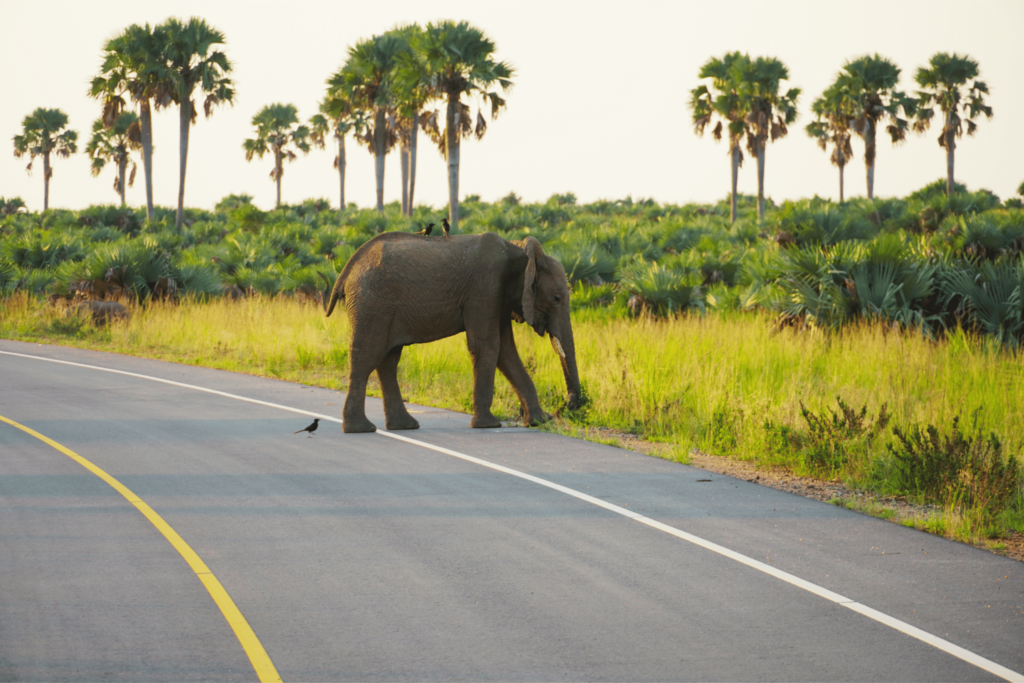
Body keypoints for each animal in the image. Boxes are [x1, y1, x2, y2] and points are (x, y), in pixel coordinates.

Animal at [323, 231, 581, 432]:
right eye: (557, 298)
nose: (569, 405)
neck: (521, 252)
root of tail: (347, 269)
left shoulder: (500, 297)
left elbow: (506, 352)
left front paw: (539, 421)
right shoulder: (486, 289)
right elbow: (488, 346)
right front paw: (489, 425)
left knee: (388, 360)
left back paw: (404, 426)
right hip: (372, 303)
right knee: (367, 356)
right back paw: (360, 429)